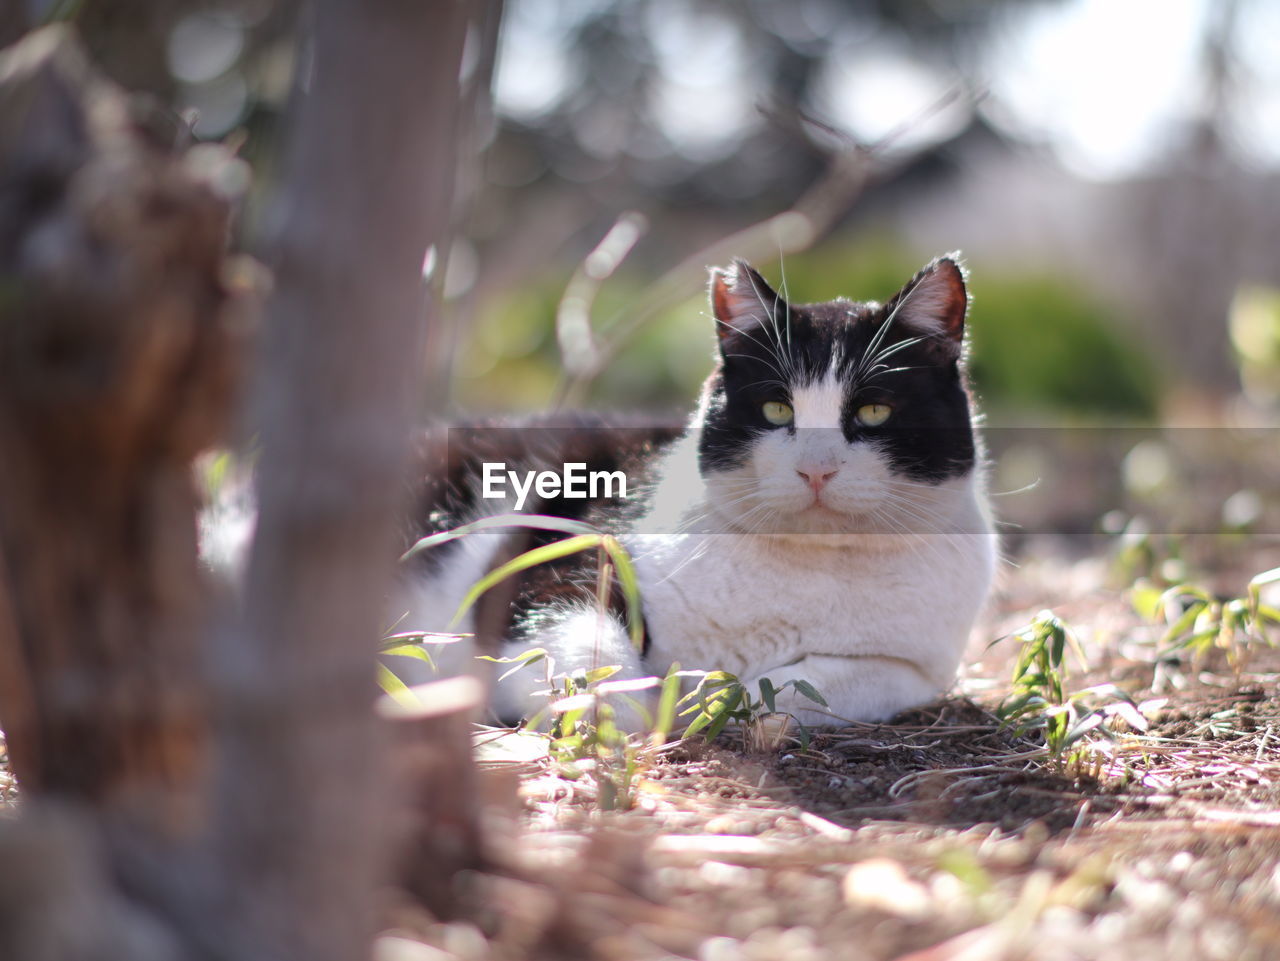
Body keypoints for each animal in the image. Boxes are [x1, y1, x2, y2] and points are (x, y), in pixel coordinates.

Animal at [394, 255, 993, 726]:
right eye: (777, 409)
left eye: (873, 412)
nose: (816, 470)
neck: (806, 571)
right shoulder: (561, 554)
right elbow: (588, 646)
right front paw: (643, 712)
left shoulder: (915, 669)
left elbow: (813, 687)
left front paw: (713, 701)